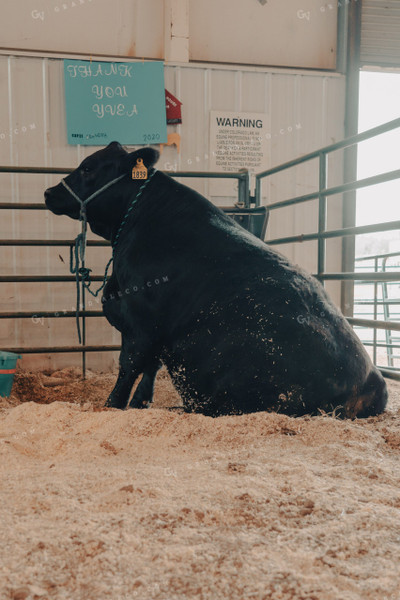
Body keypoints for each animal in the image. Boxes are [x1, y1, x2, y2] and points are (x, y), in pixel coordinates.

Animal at [43, 144, 388, 420]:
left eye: (88, 167)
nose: (48, 192)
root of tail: (371, 379)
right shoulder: (157, 332)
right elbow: (150, 368)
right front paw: (141, 403)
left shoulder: (141, 324)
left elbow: (129, 367)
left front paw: (112, 405)